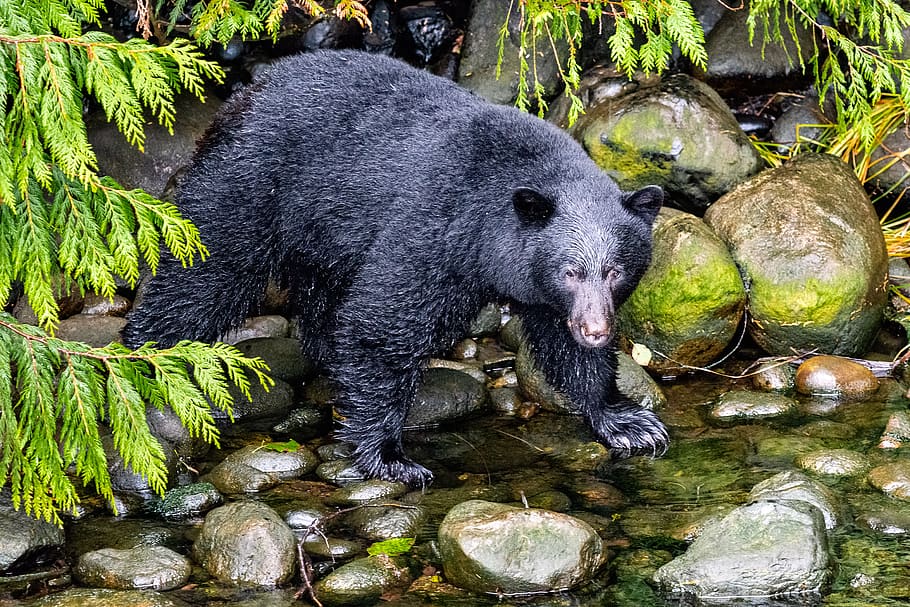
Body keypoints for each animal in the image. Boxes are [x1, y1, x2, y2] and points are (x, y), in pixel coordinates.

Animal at [121, 49, 668, 487]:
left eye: (616, 271)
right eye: (570, 271)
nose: (597, 329)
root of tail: (242, 96)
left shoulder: (542, 293)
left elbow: (563, 345)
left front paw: (626, 420)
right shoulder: (435, 229)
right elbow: (384, 323)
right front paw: (389, 456)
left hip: (322, 231)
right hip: (251, 186)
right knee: (206, 274)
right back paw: (146, 356)